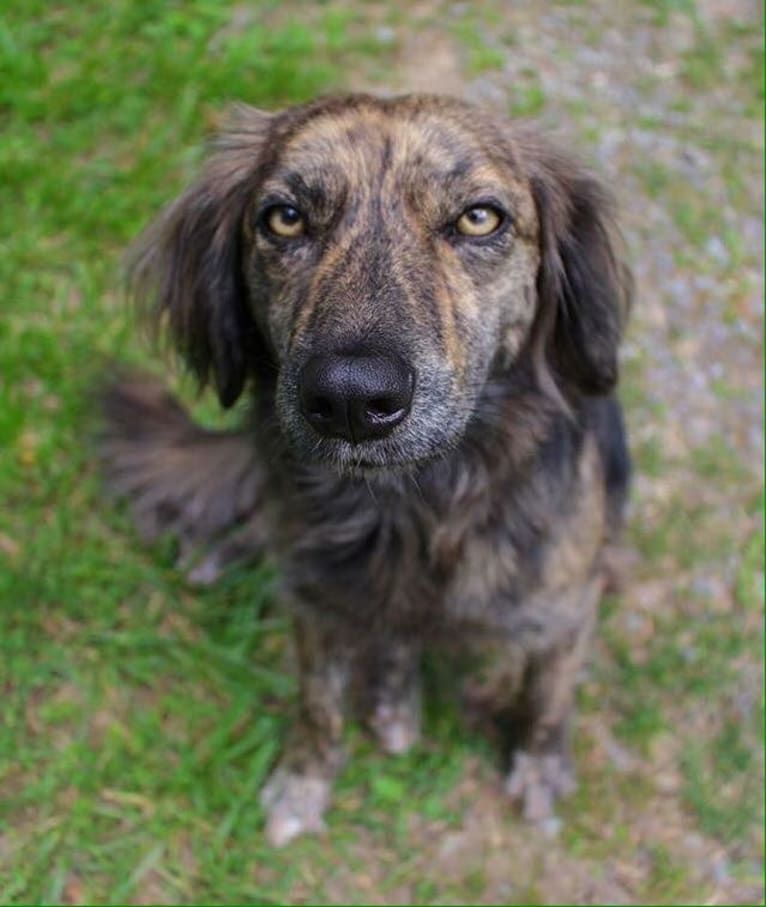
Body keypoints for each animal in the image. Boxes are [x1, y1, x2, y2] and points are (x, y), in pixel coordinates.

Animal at [102, 92, 636, 844]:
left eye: (480, 217)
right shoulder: (315, 603)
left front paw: (539, 768)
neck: (410, 506)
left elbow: (547, 698)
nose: (352, 401)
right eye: (285, 217)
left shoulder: (564, 608)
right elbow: (317, 706)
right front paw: (303, 782)